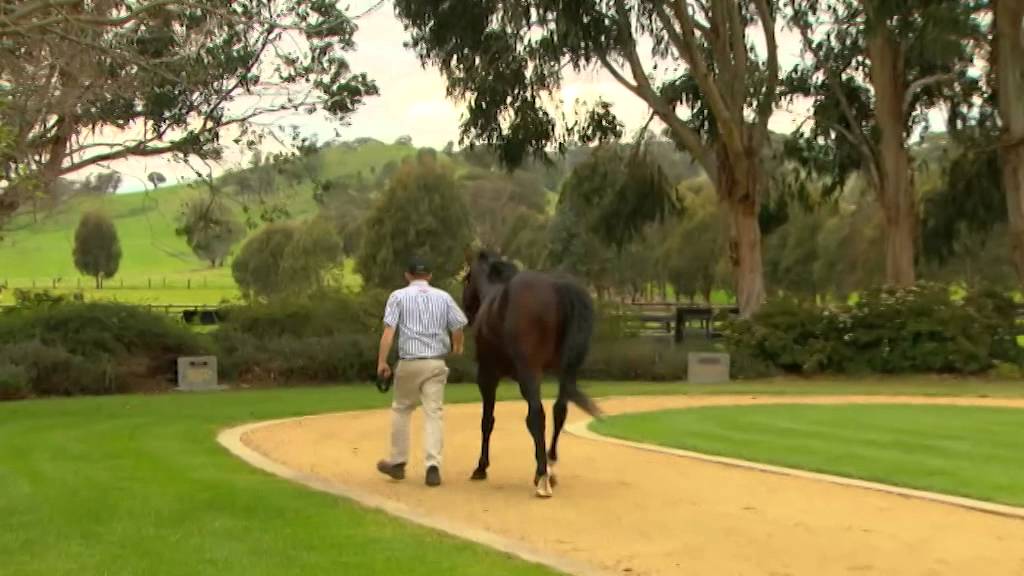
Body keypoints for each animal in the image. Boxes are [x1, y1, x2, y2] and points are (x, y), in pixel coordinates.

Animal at [461, 250, 602, 498]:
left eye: (467, 278)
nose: (465, 307)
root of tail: (557, 286)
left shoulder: (487, 376)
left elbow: (487, 420)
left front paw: (481, 467)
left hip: (529, 374)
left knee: (537, 416)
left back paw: (543, 476)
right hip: (567, 372)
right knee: (559, 411)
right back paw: (550, 465)